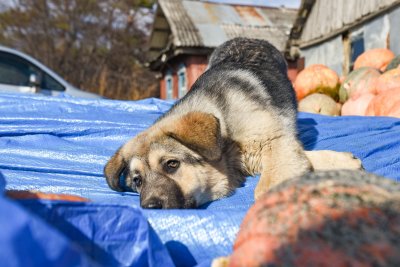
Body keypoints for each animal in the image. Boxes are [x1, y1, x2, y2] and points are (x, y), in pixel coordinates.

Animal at [104, 37, 362, 209]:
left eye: (171, 164)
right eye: (137, 181)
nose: (149, 207)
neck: (225, 134)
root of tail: (248, 38)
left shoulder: (272, 142)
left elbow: (270, 184)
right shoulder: (270, 148)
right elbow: (301, 157)